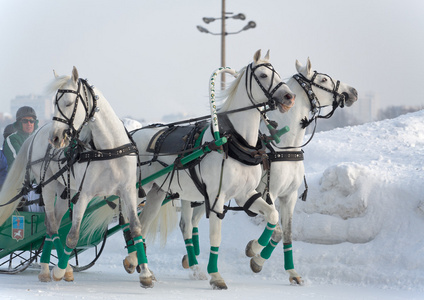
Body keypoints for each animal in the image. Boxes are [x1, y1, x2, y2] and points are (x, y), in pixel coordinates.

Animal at [0, 68, 152, 288]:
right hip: (48, 186)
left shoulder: (127, 191)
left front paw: (146, 273)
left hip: (64, 191)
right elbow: (72, 236)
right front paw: (59, 271)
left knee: (53, 223)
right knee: (51, 226)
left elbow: (136, 229)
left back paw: (53, 268)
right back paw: (50, 270)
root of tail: (38, 132)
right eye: (55, 103)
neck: (107, 149)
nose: (55, 138)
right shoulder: (84, 194)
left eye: (69, 103)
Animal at [132, 50, 294, 290]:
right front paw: (216, 276)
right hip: (134, 190)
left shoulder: (245, 195)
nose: (289, 97)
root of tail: (132, 136)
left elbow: (273, 215)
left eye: (280, 74)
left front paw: (254, 249)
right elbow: (216, 237)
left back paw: (136, 264)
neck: (234, 141)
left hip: (157, 192)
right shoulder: (218, 198)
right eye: (264, 75)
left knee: (142, 226)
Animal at [179, 57, 358, 284]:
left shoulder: (289, 196)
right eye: (324, 79)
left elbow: (286, 233)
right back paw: (194, 263)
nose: (353, 91)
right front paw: (255, 255)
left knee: (192, 222)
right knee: (186, 224)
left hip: (205, 196)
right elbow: (276, 231)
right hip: (198, 194)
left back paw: (190, 259)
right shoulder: (267, 193)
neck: (283, 147)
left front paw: (292, 272)